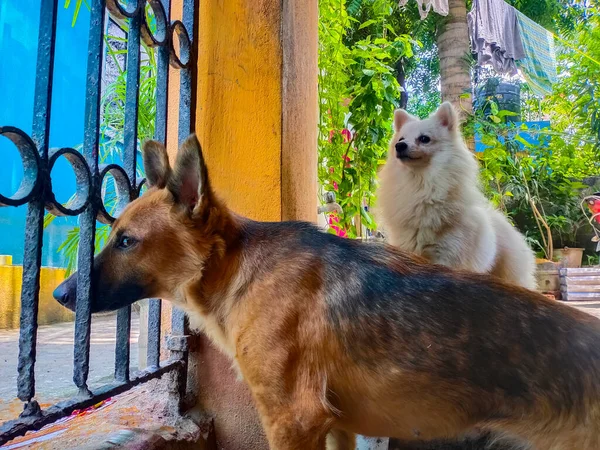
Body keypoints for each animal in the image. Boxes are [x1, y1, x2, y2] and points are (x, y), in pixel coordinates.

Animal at [55, 136, 600, 450]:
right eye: (115, 234)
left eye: (127, 241)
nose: (61, 295)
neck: (238, 270)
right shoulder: (336, 427)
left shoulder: (295, 421)